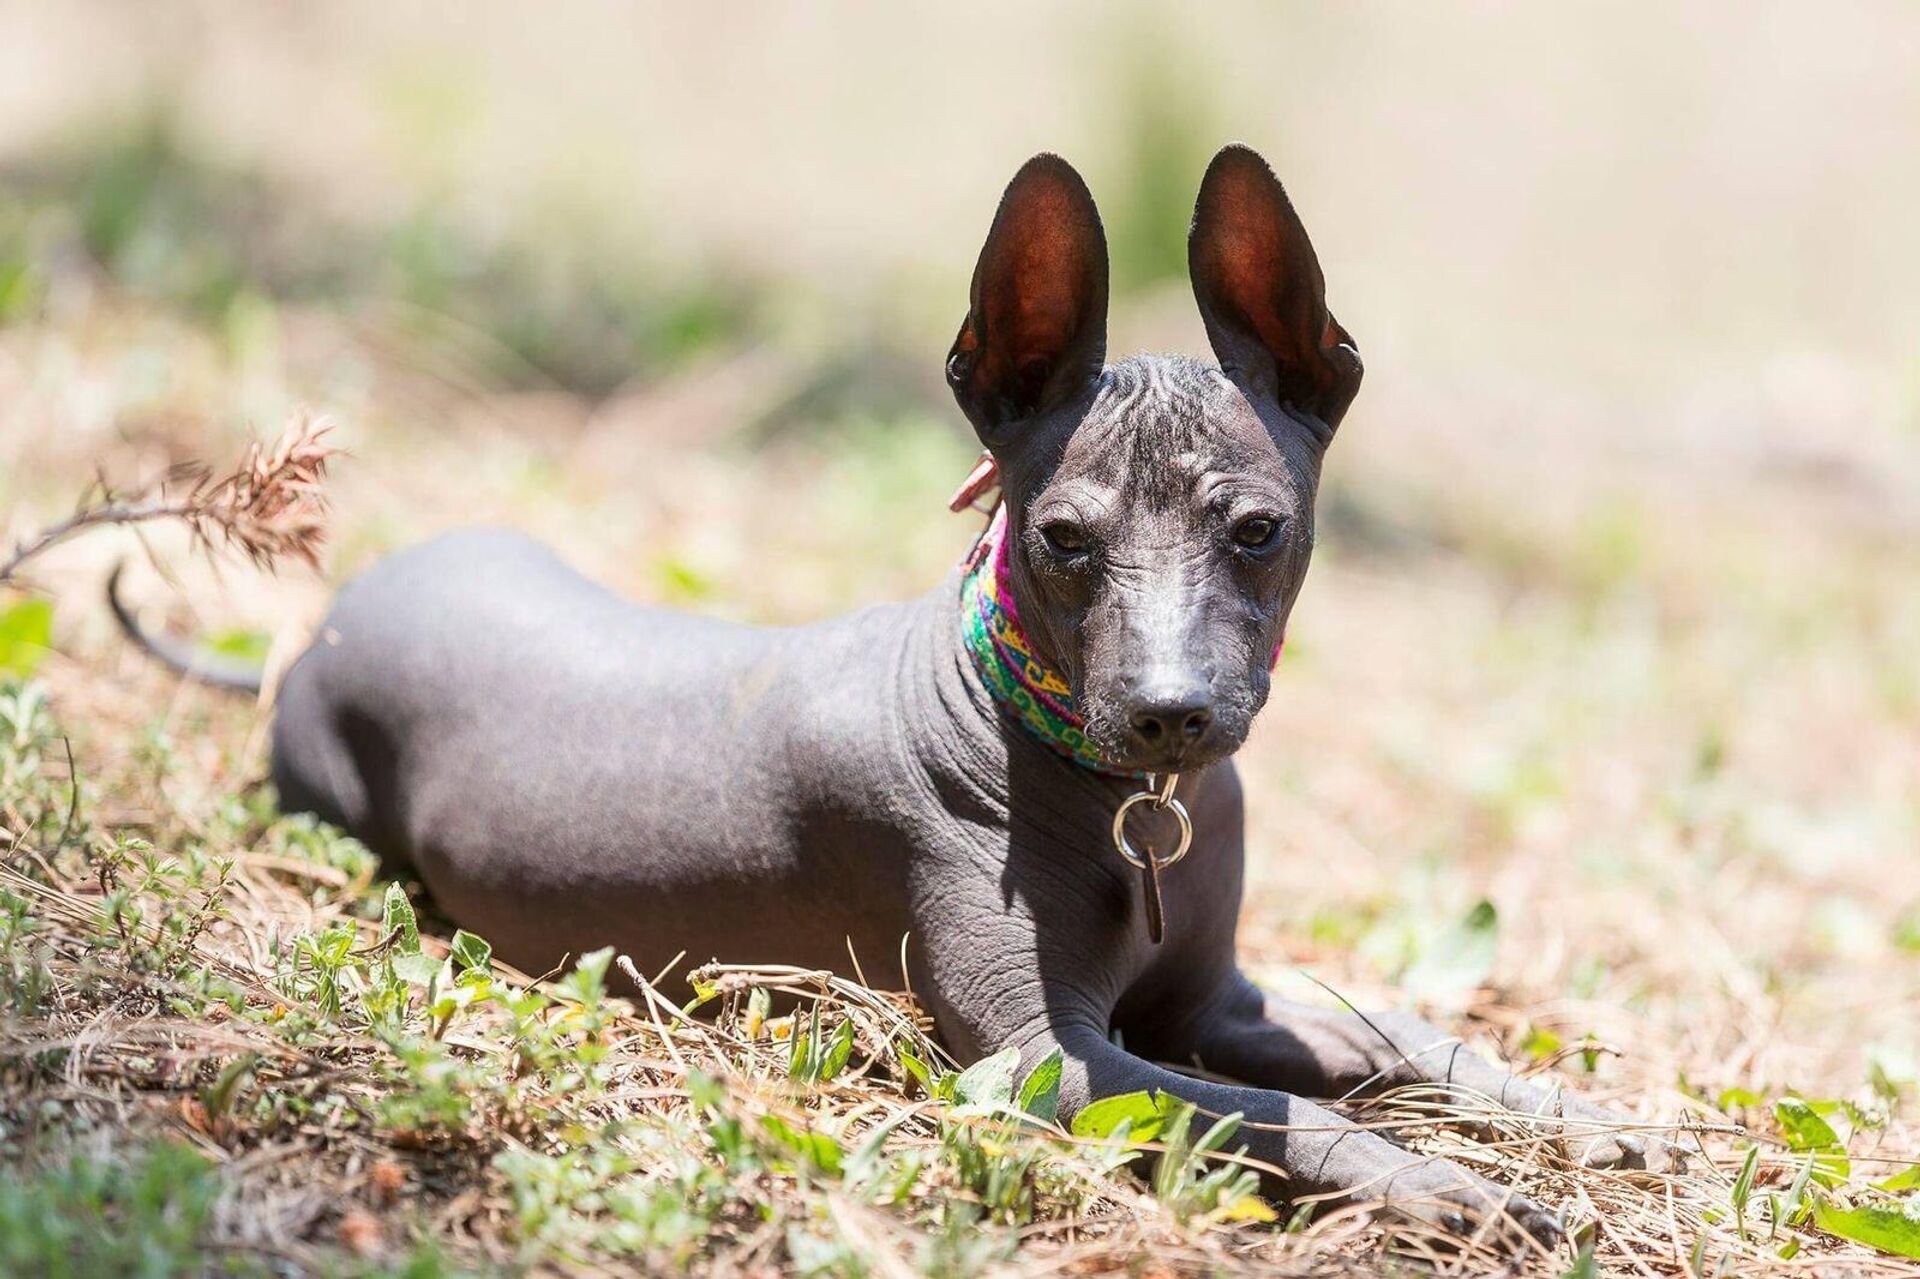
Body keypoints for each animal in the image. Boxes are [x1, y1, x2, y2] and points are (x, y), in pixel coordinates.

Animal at [120, 144, 1681, 1236]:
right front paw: (1441, 1184)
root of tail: (319, 625)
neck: (1123, 801)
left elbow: (1400, 1034)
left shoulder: (1219, 993)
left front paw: (1579, 1108)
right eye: (1063, 540)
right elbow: (1260, 1110)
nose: (1171, 711)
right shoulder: (1052, 1061)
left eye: (1258, 530)